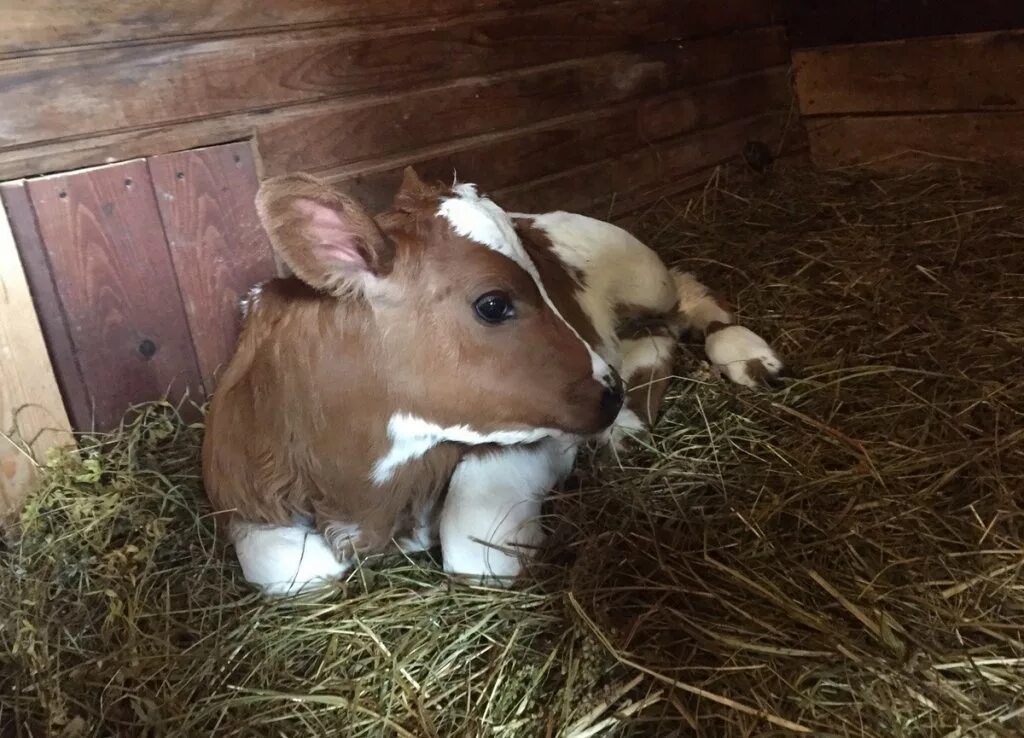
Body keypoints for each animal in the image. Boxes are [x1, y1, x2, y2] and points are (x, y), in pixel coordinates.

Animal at [199, 166, 782, 593]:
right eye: (494, 304)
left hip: (644, 273)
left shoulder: (533, 434)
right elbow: (292, 571)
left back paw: (741, 358)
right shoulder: (244, 490)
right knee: (653, 338)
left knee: (688, 295)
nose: (611, 392)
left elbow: (476, 548)